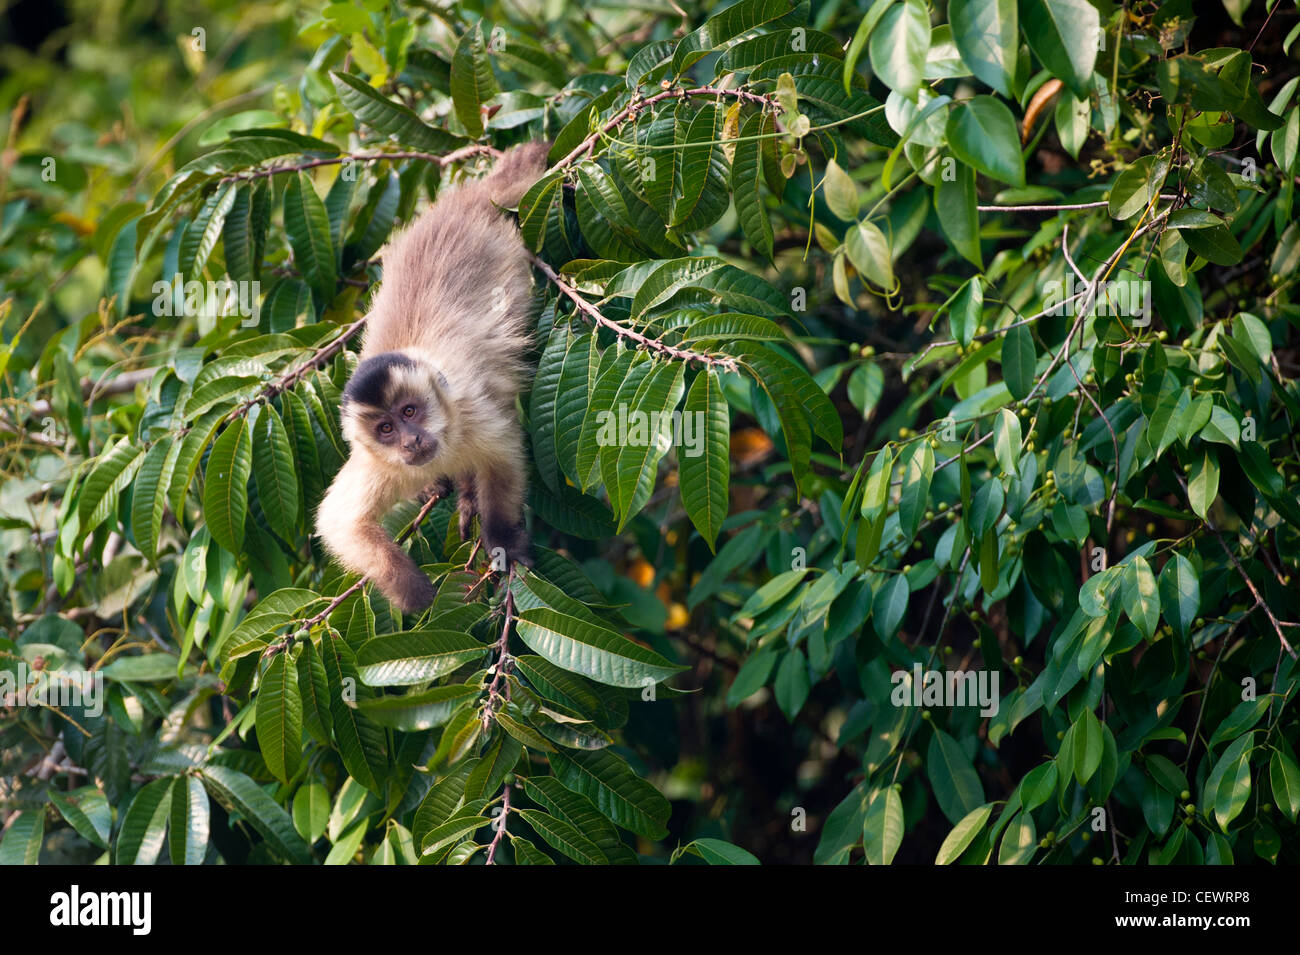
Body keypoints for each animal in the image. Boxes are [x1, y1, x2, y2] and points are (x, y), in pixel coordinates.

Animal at [321, 145, 553, 615]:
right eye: (386, 428)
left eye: (411, 411)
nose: (411, 440)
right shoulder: (380, 465)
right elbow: (341, 524)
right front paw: (412, 591)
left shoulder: (470, 414)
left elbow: (504, 458)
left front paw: (503, 542)